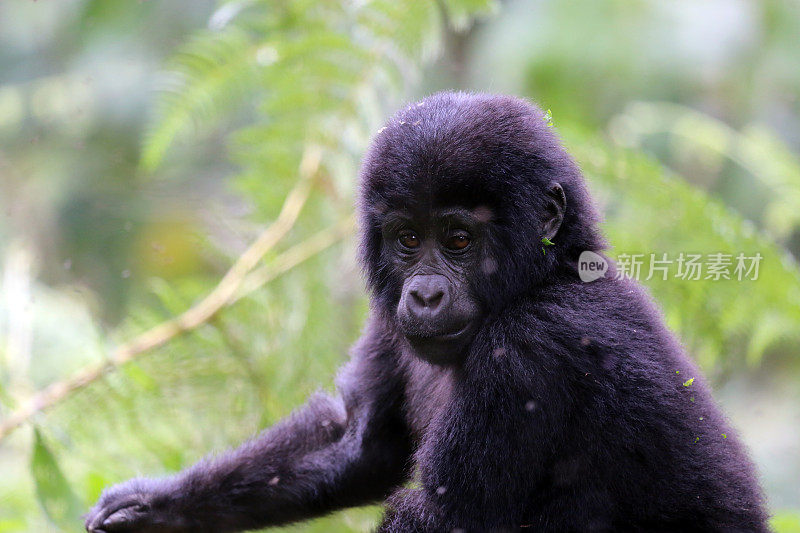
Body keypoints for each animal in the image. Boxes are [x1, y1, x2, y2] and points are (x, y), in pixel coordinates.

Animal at [84, 92, 764, 532]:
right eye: (408, 238)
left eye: (459, 240)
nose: (426, 296)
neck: (547, 275)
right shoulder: (387, 319)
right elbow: (359, 443)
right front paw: (157, 506)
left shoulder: (530, 348)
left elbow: (440, 517)